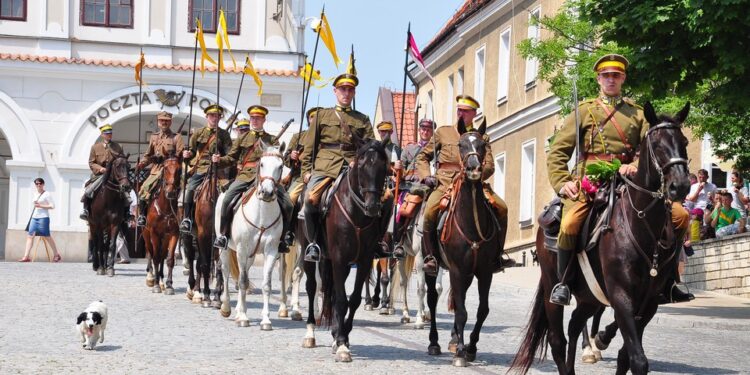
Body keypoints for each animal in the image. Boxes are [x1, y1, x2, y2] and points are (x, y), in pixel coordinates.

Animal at [142, 157, 182, 296]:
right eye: (165, 168)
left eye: (179, 169)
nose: (170, 192)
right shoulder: (154, 234)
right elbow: (155, 257)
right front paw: (155, 285)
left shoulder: (174, 234)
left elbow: (169, 259)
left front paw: (169, 285)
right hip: (147, 235)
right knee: (150, 252)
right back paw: (151, 278)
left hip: (164, 239)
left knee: (162, 255)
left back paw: (161, 280)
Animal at [220, 144, 288, 328]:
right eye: (262, 163)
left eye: (280, 166)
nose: (267, 193)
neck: (262, 213)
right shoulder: (241, 249)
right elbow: (242, 282)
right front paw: (244, 317)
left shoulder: (271, 251)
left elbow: (266, 284)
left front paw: (265, 320)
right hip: (226, 250)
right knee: (226, 273)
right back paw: (227, 307)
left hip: (250, 255)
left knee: (243, 274)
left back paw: (238, 310)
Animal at [314, 140, 390, 362]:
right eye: (362, 166)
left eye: (384, 167)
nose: (373, 207)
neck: (357, 213)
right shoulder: (338, 259)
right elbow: (341, 300)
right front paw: (341, 344)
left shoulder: (363, 260)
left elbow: (354, 299)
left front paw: (343, 336)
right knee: (316, 289)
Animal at [426, 118, 508, 368]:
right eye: (461, 145)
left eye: (482, 145)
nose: (473, 169)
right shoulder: (456, 269)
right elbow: (462, 311)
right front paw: (461, 353)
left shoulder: (484, 271)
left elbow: (482, 310)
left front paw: (470, 347)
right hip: (432, 267)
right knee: (432, 300)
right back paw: (435, 342)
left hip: (469, 274)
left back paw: (454, 340)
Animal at [512, 101, 692, 374]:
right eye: (656, 143)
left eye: (684, 141)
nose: (680, 186)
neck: (641, 224)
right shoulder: (621, 296)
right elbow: (638, 359)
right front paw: (602, 340)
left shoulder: (649, 302)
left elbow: (626, 356)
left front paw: (603, 340)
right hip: (553, 289)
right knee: (557, 340)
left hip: (590, 296)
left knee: (575, 324)